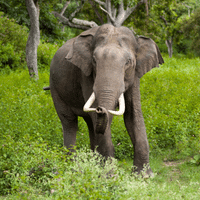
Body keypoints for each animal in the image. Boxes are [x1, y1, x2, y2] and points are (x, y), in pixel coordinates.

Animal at [48, 23, 164, 177]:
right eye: (94, 60)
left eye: (128, 62)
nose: (100, 108)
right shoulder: (86, 74)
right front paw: (109, 176)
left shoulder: (135, 75)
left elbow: (133, 114)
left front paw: (144, 176)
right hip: (55, 87)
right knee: (69, 122)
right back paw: (72, 168)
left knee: (91, 124)